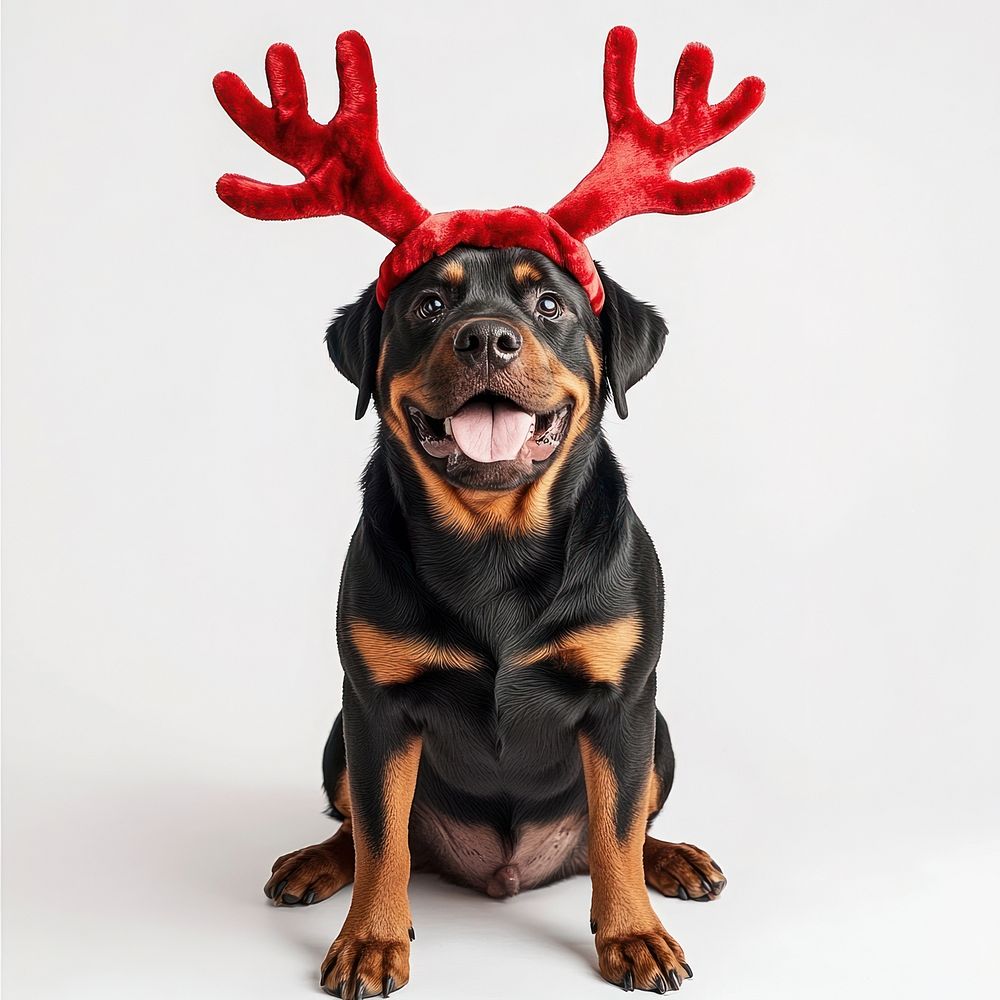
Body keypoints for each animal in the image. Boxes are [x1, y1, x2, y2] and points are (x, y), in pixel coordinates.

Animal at [262, 246, 724, 996]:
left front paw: (632, 933)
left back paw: (671, 858)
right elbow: (381, 838)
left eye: (549, 305)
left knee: (625, 828)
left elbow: (617, 829)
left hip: (659, 735)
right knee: (359, 828)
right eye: (428, 305)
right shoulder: (377, 707)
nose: (485, 337)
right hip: (340, 735)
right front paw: (370, 940)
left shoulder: (622, 705)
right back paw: (318, 861)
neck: (493, 544)